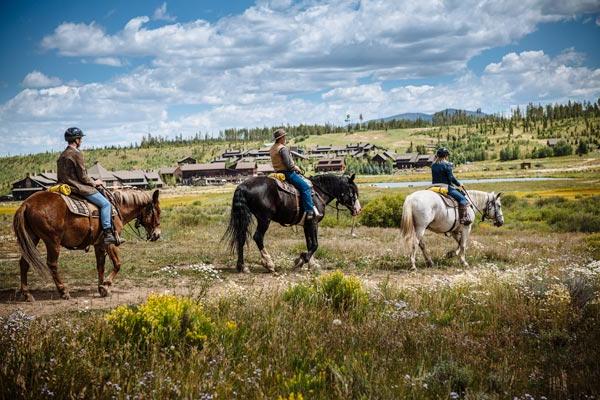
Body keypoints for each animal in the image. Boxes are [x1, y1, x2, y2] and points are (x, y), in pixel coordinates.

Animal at [13, 188, 162, 300]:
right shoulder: (110, 243)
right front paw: (106, 285)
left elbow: (100, 266)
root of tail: (26, 204)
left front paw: (102, 288)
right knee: (52, 264)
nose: (157, 235)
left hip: (32, 239)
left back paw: (27, 294)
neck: (117, 207)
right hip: (52, 242)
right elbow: (117, 264)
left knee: (24, 263)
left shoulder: (99, 245)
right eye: (157, 212)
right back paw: (63, 291)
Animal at [223, 173, 358, 274]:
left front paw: (312, 264)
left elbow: (309, 244)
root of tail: (243, 186)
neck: (319, 192)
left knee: (241, 237)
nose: (358, 209)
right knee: (258, 237)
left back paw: (242, 266)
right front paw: (301, 260)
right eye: (353, 191)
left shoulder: (307, 225)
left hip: (246, 217)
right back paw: (269, 263)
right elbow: (315, 244)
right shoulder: (313, 222)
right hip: (264, 219)